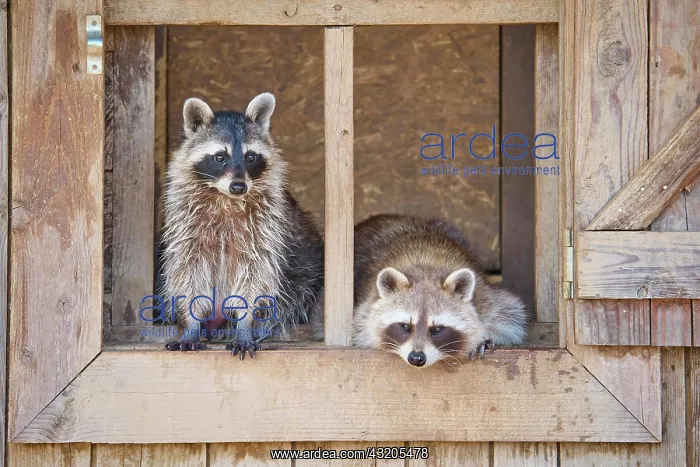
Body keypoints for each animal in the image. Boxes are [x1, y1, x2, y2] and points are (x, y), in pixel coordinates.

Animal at [162, 93, 323, 358]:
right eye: (220, 157)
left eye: (250, 157)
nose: (239, 186)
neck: (226, 198)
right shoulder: (186, 224)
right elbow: (189, 271)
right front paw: (192, 325)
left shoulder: (265, 227)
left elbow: (256, 273)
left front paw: (245, 324)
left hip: (306, 267)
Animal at [353, 214, 528, 367]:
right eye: (406, 326)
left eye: (437, 329)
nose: (416, 358)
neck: (427, 267)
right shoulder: (366, 307)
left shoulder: (486, 297)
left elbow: (510, 316)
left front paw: (485, 337)